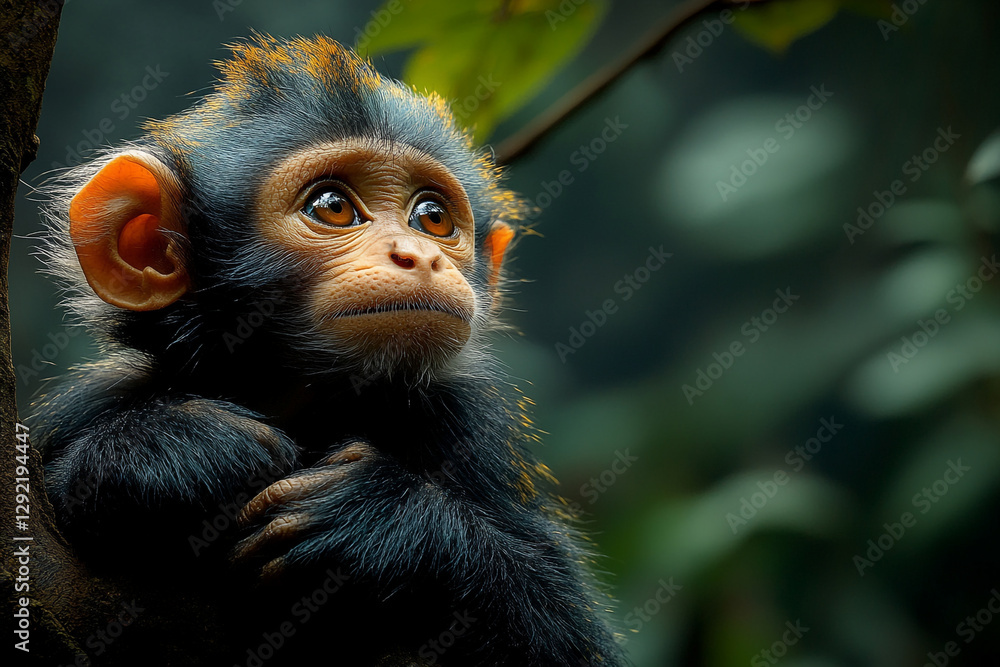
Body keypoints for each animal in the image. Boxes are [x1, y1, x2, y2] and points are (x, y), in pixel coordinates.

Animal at [30, 35, 625, 666]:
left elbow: (566, 644)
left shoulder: (469, 425)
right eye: (333, 206)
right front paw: (165, 451)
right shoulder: (96, 400)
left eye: (433, 218)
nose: (421, 255)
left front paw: (381, 522)